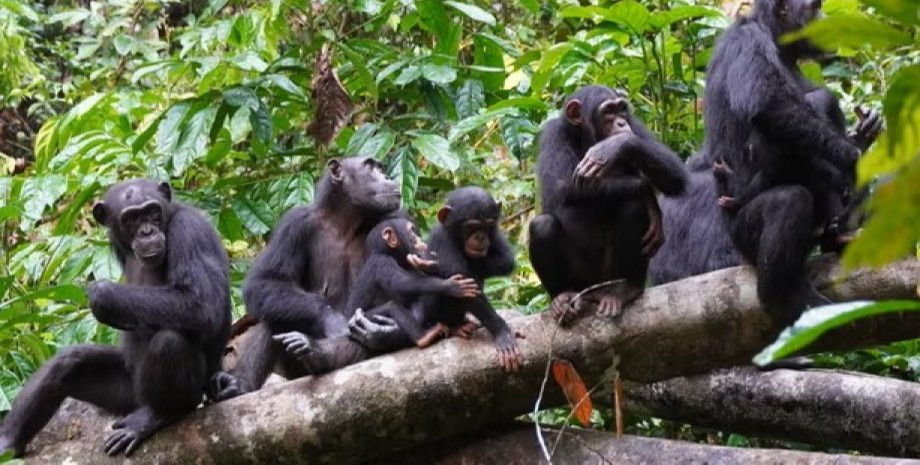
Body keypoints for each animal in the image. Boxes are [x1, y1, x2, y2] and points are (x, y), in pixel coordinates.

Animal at [0, 179, 230, 456]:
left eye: (152, 211)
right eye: (131, 219)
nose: (146, 232)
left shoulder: (190, 231)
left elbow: (203, 303)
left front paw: (102, 294)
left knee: (170, 341)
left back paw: (160, 414)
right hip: (125, 394)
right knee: (67, 362)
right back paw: (8, 442)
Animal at [216, 156, 406, 398]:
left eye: (379, 168)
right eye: (371, 167)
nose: (387, 176)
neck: (346, 220)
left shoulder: (397, 218)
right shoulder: (294, 224)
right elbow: (266, 280)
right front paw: (332, 319)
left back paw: (321, 352)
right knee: (274, 314)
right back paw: (240, 383)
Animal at [528, 85, 688, 324]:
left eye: (621, 109)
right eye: (608, 112)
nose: (621, 123)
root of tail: (595, 291)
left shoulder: (635, 124)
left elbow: (675, 176)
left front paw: (616, 146)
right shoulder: (552, 135)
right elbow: (559, 186)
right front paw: (646, 192)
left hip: (608, 278)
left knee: (632, 206)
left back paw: (625, 290)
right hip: (582, 282)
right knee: (542, 225)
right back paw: (562, 297)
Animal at [644, 0, 880, 324]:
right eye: (814, 8)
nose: (824, 19)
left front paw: (864, 136)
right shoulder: (748, 42)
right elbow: (767, 103)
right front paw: (853, 159)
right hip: (740, 231)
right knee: (789, 192)